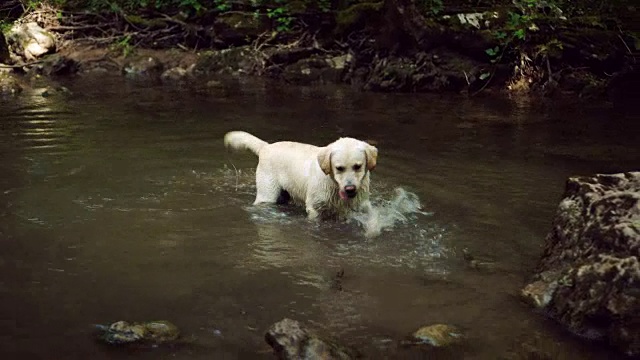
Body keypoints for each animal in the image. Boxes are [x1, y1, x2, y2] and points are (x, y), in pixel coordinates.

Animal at [224, 129, 378, 219]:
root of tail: (266, 147)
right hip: (267, 194)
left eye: (358, 166)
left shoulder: (362, 204)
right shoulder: (314, 208)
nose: (350, 189)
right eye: (339, 168)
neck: (333, 184)